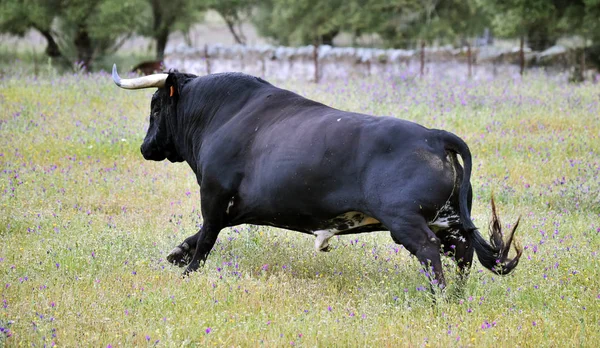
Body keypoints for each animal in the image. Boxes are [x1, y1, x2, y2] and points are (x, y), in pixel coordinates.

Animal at [111, 64, 520, 288]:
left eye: (155, 106)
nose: (146, 147)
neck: (222, 114)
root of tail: (433, 136)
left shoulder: (213, 196)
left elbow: (206, 241)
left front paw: (188, 273)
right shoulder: (236, 208)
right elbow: (199, 237)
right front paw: (177, 254)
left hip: (406, 221)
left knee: (431, 252)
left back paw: (439, 299)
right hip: (448, 219)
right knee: (463, 253)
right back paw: (457, 297)